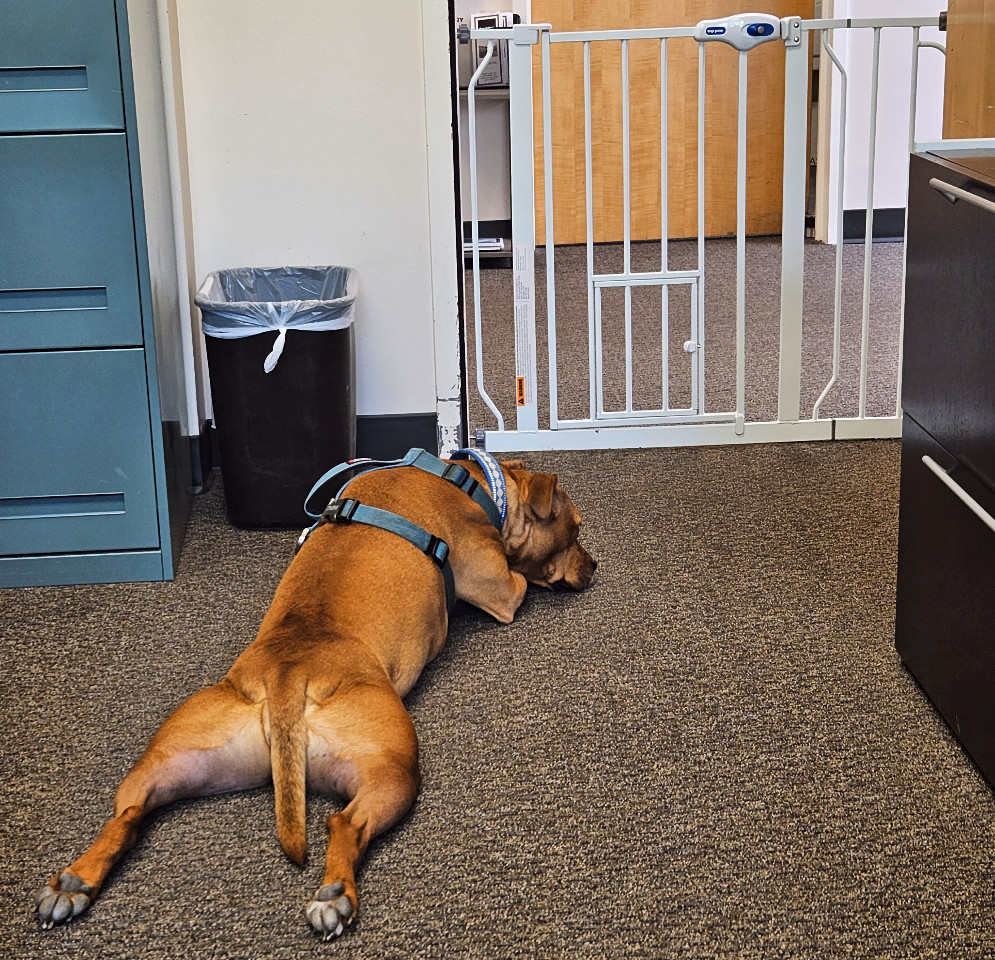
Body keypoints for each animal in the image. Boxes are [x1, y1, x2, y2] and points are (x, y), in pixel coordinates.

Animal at [35, 456, 596, 936]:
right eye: (575, 529)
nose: (593, 566)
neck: (473, 480)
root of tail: (289, 674)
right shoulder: (503, 590)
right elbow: (522, 578)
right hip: (394, 767)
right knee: (345, 823)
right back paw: (334, 896)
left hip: (180, 758)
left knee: (128, 815)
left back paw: (73, 883)